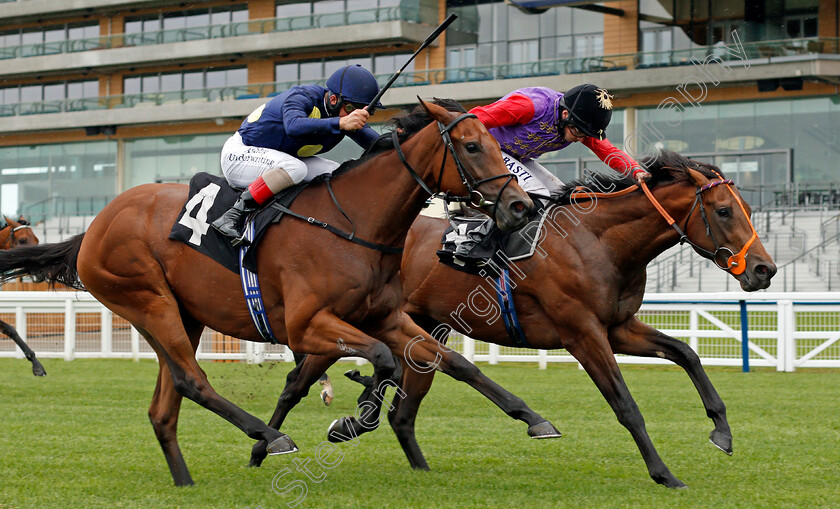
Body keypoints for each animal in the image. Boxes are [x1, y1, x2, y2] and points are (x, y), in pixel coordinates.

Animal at [260, 151, 776, 488]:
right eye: (724, 211)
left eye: (750, 209)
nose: (764, 270)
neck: (599, 241)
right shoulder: (582, 333)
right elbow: (625, 405)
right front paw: (664, 473)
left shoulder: (617, 327)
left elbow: (686, 353)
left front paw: (721, 431)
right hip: (348, 319)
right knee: (297, 382)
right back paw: (274, 442)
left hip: (423, 327)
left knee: (402, 412)